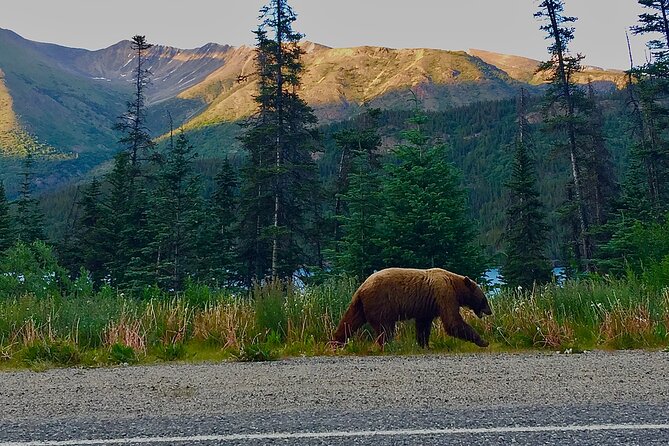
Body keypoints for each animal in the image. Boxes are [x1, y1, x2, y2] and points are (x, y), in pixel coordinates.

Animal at [332, 268, 492, 348]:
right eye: (484, 299)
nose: (489, 311)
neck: (455, 285)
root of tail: (362, 287)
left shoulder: (427, 305)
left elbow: (423, 325)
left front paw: (424, 345)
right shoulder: (444, 294)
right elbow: (453, 321)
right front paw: (483, 341)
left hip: (360, 305)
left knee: (349, 321)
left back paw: (336, 342)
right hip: (381, 302)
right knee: (385, 328)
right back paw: (389, 345)